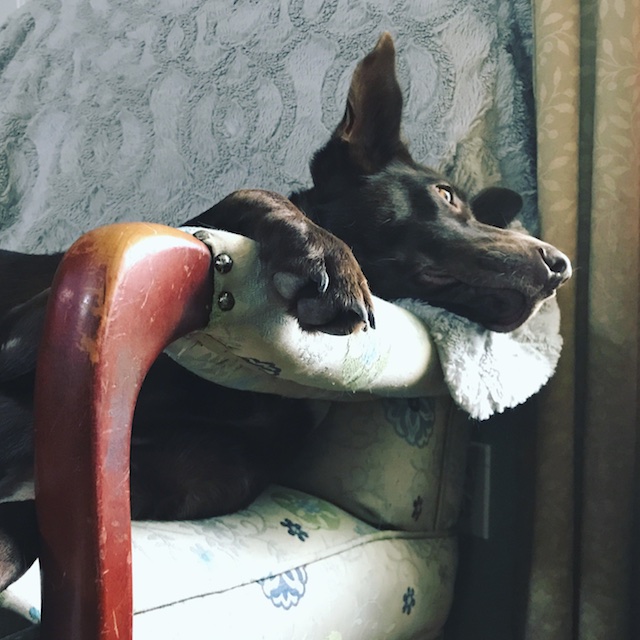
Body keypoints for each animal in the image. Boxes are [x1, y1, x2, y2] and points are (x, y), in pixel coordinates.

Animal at [0, 33, 568, 592]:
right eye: (445, 194)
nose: (560, 265)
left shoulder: (203, 474)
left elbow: (75, 510)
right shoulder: (17, 337)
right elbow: (253, 192)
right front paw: (327, 255)